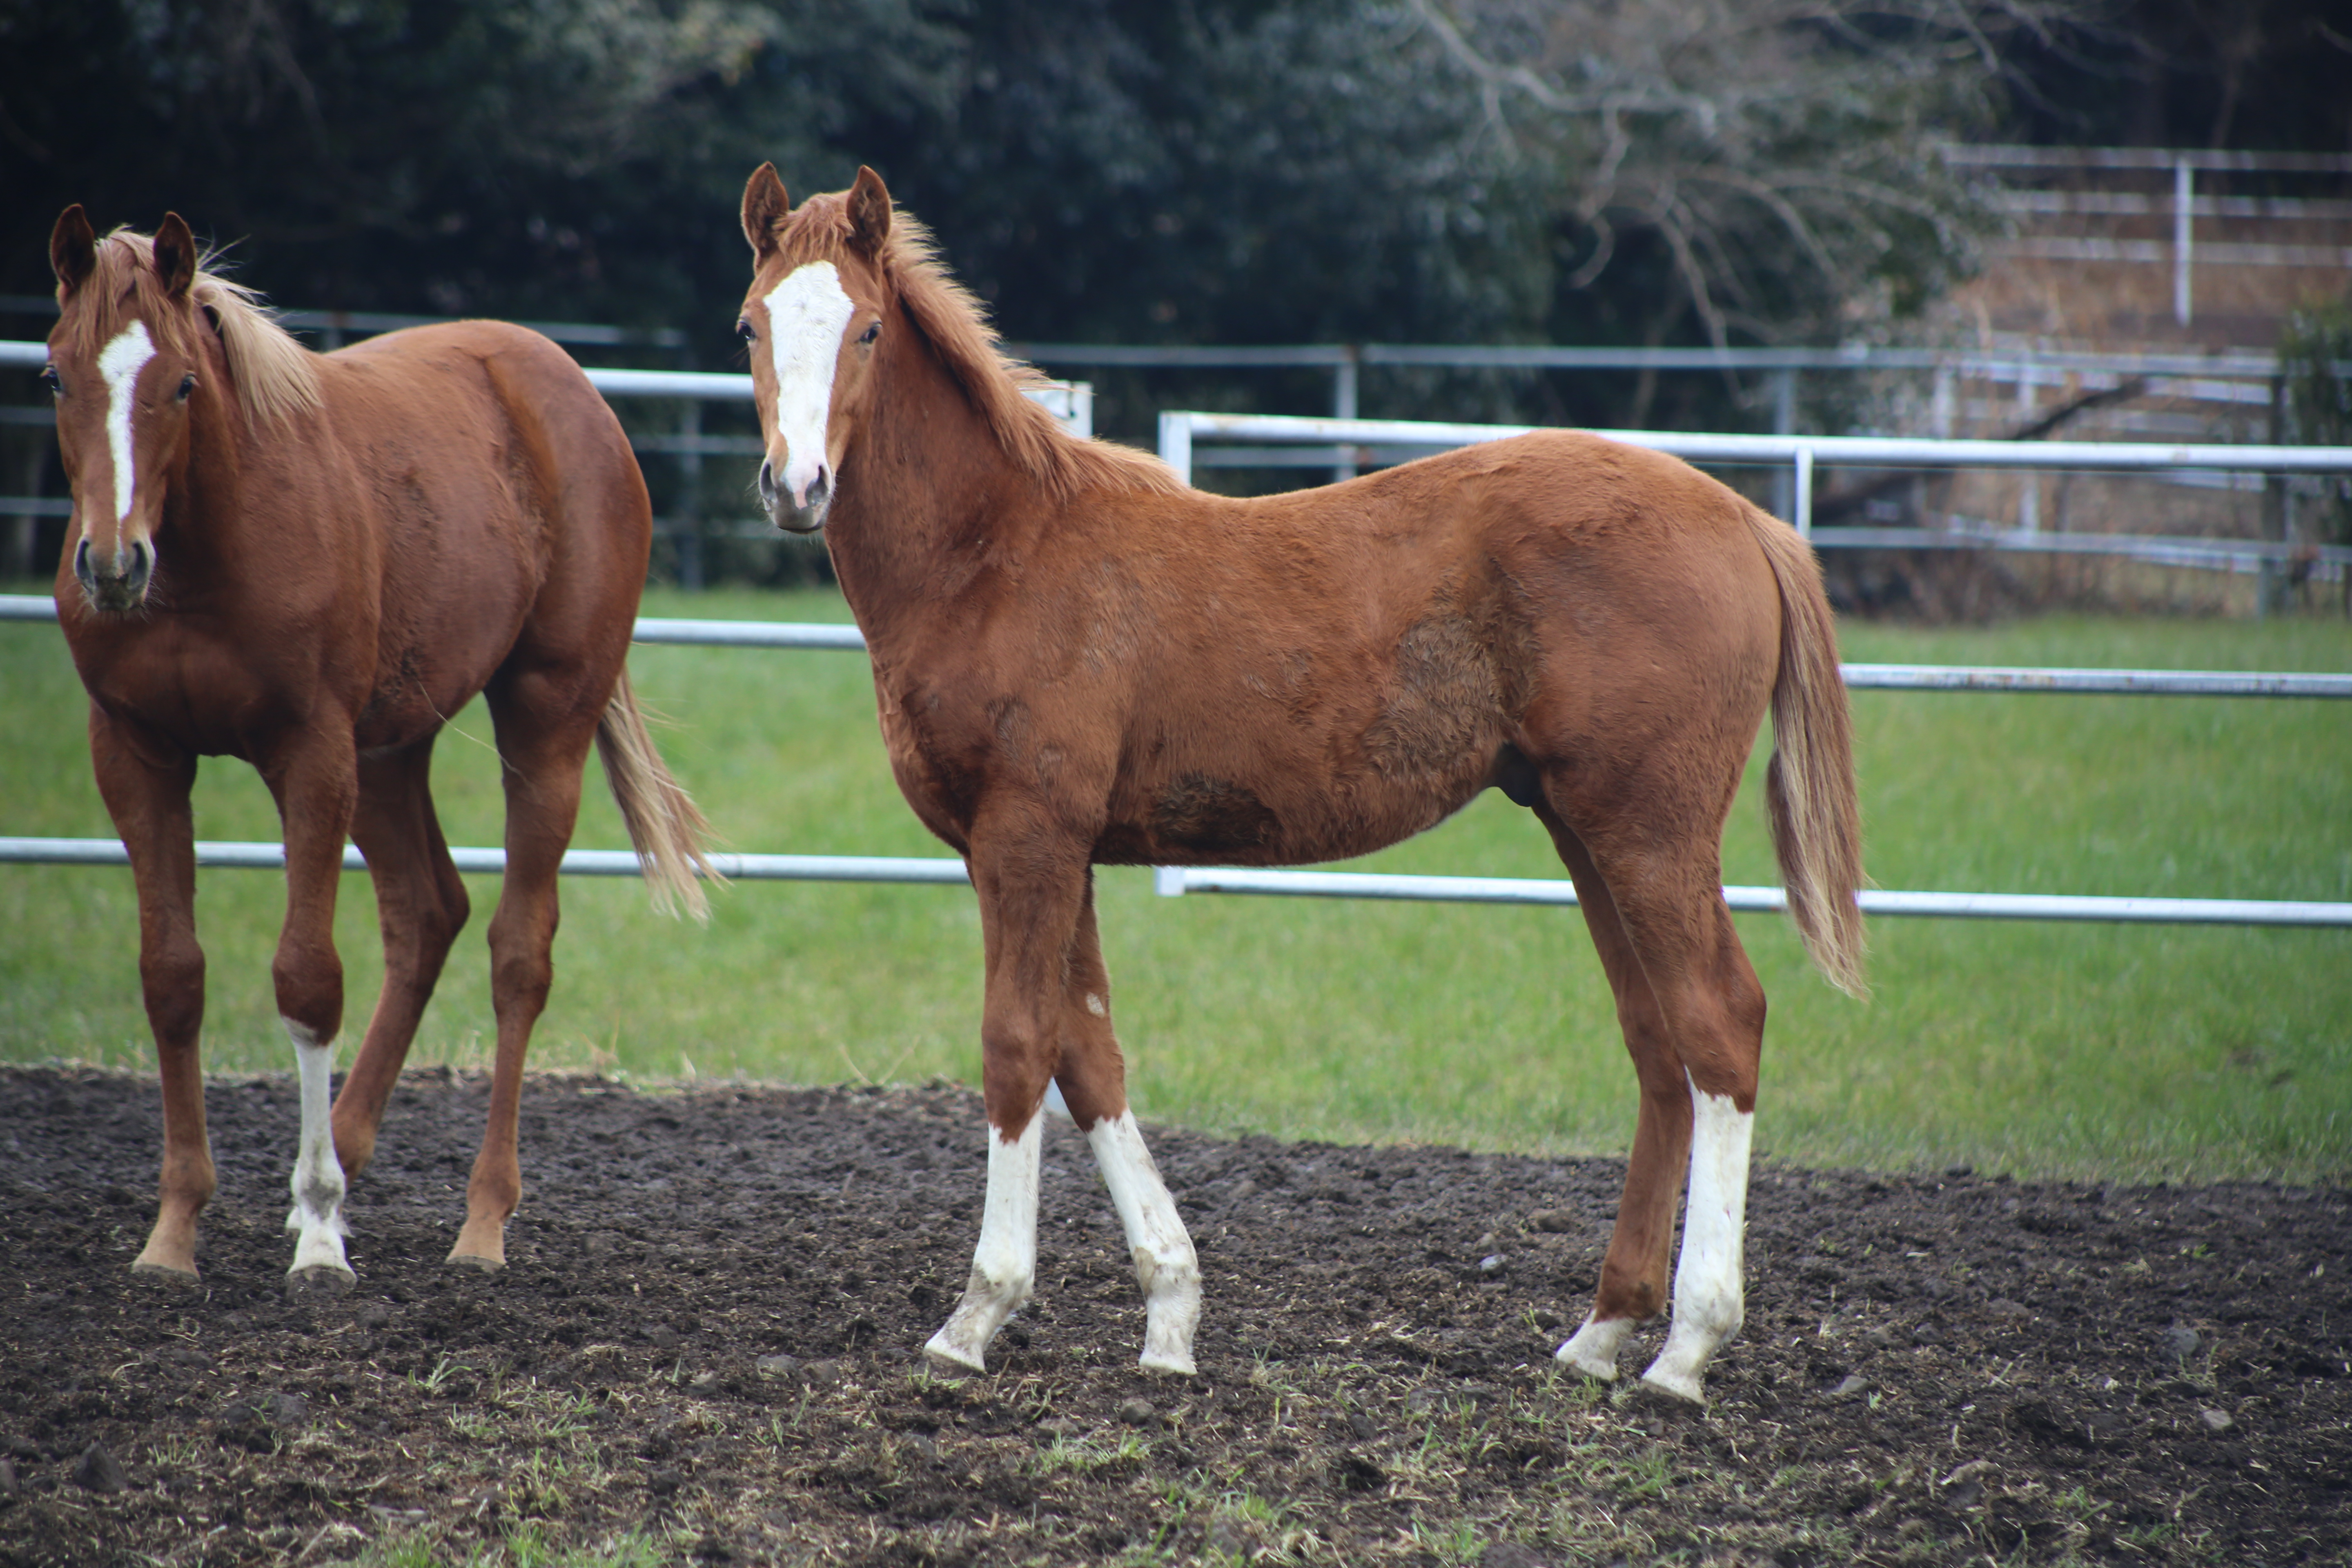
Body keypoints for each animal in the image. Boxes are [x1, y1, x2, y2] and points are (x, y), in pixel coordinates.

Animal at [43, 205, 706, 1288]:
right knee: (427, 913)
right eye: (57, 375)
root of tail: (568, 388)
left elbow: (308, 978)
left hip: (542, 727)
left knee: (518, 952)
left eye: (180, 384)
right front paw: (176, 1230)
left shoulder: (311, 755)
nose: (111, 564)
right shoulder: (135, 754)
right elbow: (172, 976)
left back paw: (477, 1222)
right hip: (393, 752)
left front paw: (320, 1234)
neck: (207, 549)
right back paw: (342, 1161)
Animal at [743, 165, 1862, 1401]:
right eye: (749, 325)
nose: (795, 486)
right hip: (1585, 830)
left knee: (1720, 1024)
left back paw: (1686, 1346)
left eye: (867, 328)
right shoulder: (1066, 849)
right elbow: (1091, 1056)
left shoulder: (1024, 837)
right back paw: (1602, 1334)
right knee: (1657, 1044)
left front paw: (976, 1316)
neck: (999, 554)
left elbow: (1018, 1047)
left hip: (1651, 832)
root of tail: (1749, 521)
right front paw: (1170, 1318)